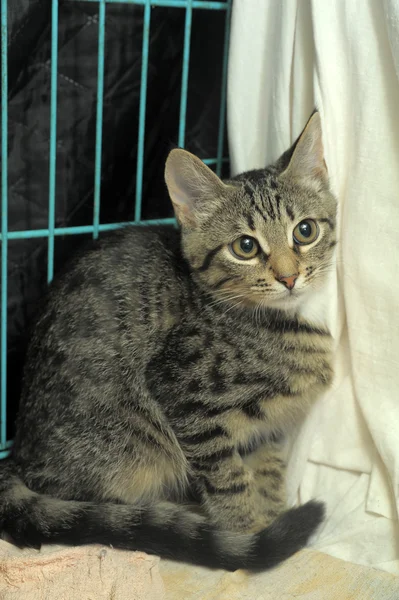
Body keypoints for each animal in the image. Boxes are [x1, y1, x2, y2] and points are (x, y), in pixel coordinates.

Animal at [0, 111, 338, 572]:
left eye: (304, 231)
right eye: (245, 246)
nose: (289, 277)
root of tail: (17, 457)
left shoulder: (263, 427)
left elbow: (266, 469)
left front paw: (270, 517)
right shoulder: (183, 397)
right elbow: (229, 480)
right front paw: (247, 535)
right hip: (125, 450)